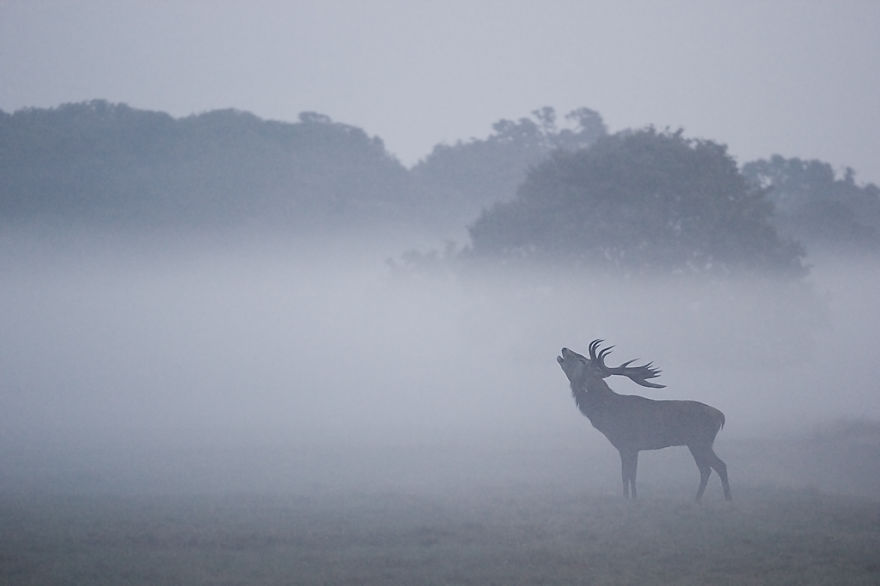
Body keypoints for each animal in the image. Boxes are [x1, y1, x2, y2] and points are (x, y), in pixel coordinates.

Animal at [557, 340, 731, 501]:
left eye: (582, 360)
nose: (564, 349)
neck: (608, 415)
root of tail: (720, 416)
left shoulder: (627, 444)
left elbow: (626, 475)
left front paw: (628, 499)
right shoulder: (632, 448)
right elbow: (630, 475)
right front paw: (632, 498)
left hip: (701, 441)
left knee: (719, 466)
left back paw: (726, 499)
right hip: (695, 443)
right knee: (706, 469)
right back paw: (698, 500)